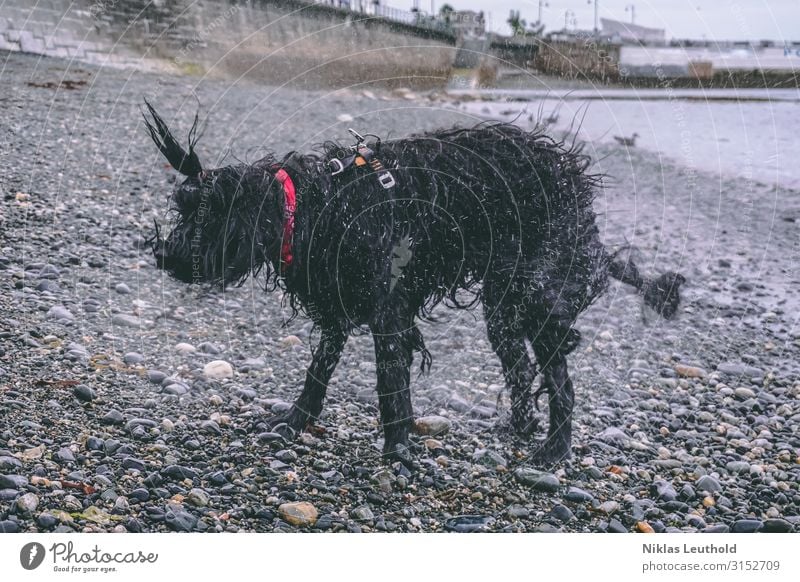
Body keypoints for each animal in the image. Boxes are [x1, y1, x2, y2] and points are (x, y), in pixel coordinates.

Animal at [142, 102, 680, 468]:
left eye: (203, 215)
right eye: (180, 209)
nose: (164, 254)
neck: (312, 206)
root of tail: (581, 203)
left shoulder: (389, 312)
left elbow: (390, 387)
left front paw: (398, 451)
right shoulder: (337, 308)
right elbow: (317, 373)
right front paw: (293, 422)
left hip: (535, 294)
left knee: (560, 380)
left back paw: (553, 449)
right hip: (503, 308)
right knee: (522, 368)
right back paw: (520, 426)